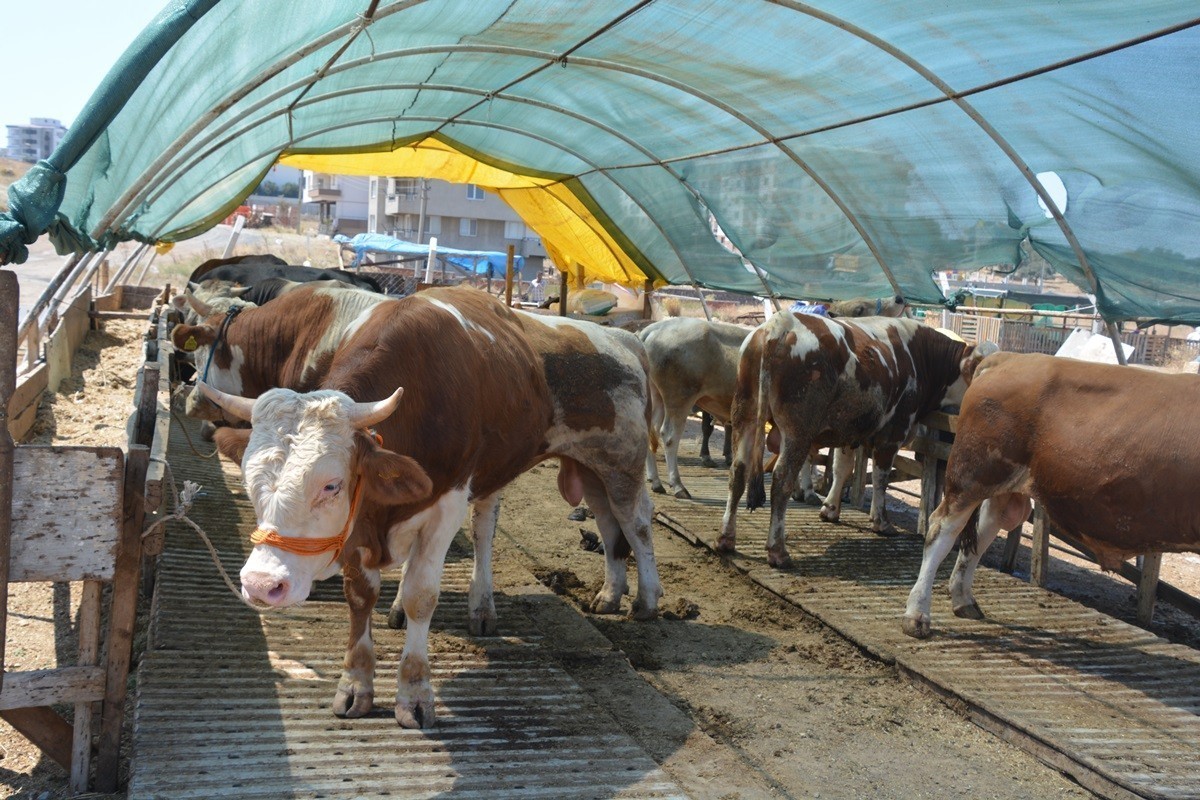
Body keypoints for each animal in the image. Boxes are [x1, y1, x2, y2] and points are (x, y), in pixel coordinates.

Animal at [201, 284, 662, 729]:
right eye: (249, 481)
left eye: (331, 485)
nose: (261, 584)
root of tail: (624, 340)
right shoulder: (360, 524)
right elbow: (360, 596)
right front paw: (355, 685)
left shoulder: (446, 506)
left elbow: (423, 595)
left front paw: (415, 695)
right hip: (580, 470)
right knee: (595, 524)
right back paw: (601, 594)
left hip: (621, 461)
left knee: (634, 523)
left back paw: (645, 600)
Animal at [715, 311, 988, 568]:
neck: (920, 357)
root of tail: (780, 324)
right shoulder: (893, 432)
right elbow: (880, 479)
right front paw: (881, 521)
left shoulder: (847, 429)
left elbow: (841, 468)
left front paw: (830, 509)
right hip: (797, 430)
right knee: (782, 480)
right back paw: (777, 551)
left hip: (745, 414)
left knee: (738, 471)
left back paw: (726, 538)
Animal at [902, 352, 1200, 642]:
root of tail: (1007, 358)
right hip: (971, 474)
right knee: (941, 530)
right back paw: (917, 615)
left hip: (999, 485)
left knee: (983, 531)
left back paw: (963, 600)